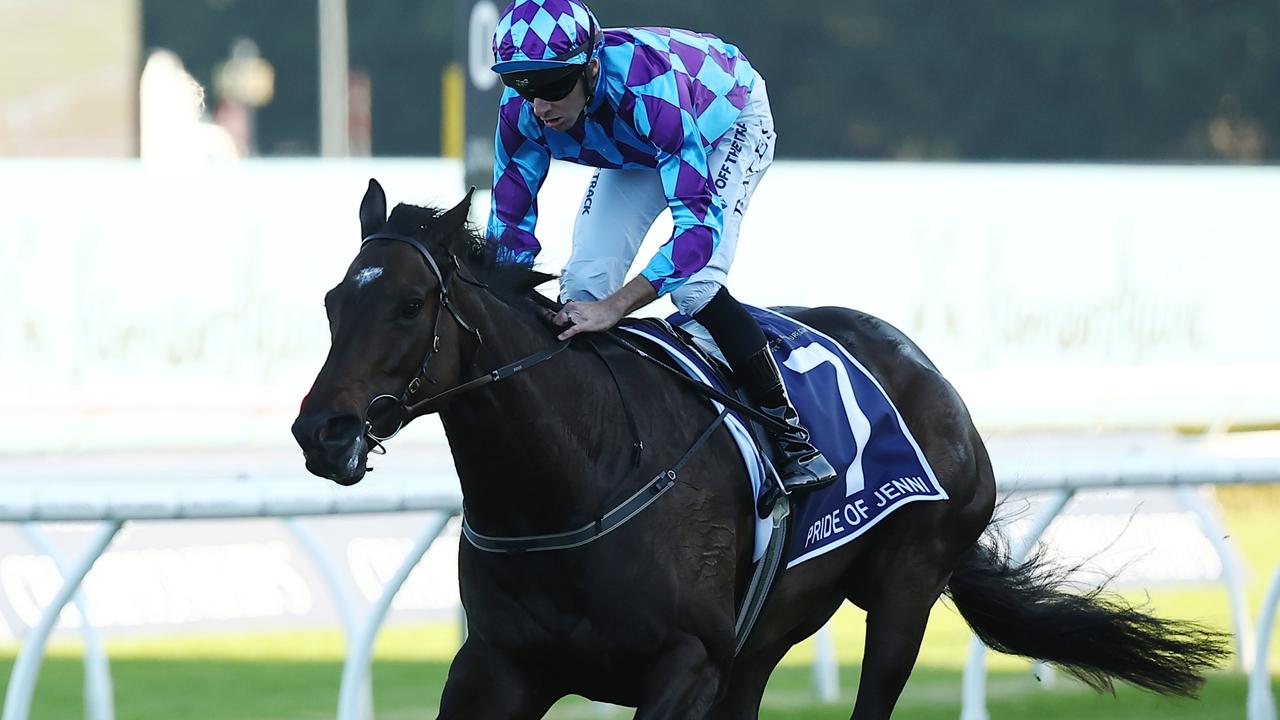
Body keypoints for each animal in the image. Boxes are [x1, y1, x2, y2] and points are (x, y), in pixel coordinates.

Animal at [293, 178, 1228, 712]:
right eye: (335, 301)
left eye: (408, 306)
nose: (320, 430)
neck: (572, 478)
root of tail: (930, 375)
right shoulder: (497, 667)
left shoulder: (684, 666)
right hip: (765, 638)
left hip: (905, 590)